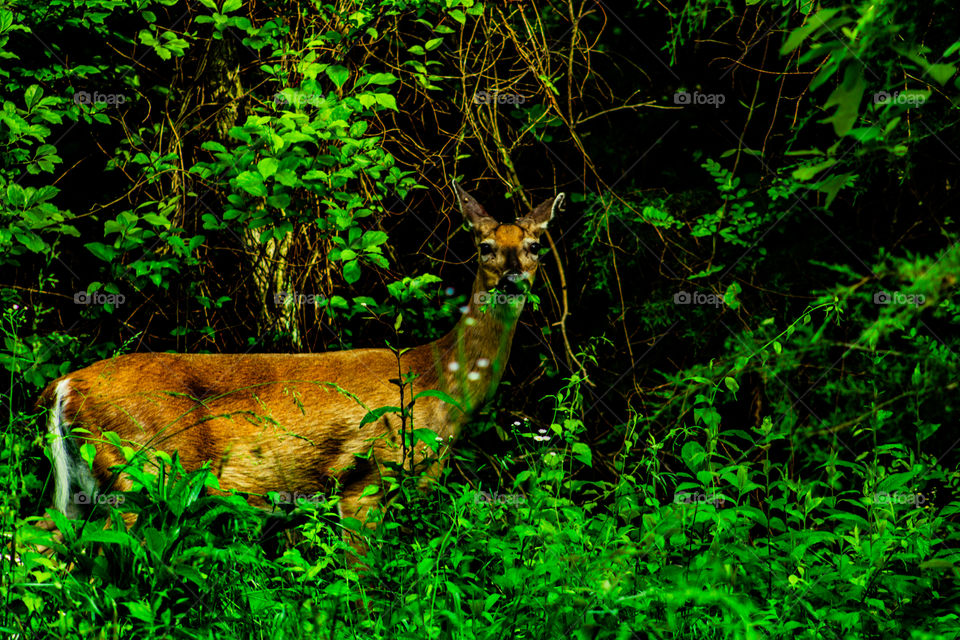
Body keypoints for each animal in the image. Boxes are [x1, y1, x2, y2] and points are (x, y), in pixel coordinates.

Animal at [35, 181, 564, 558]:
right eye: (484, 245)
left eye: (536, 244)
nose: (513, 279)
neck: (437, 381)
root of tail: (64, 385)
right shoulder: (366, 478)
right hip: (140, 473)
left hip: (85, 489)